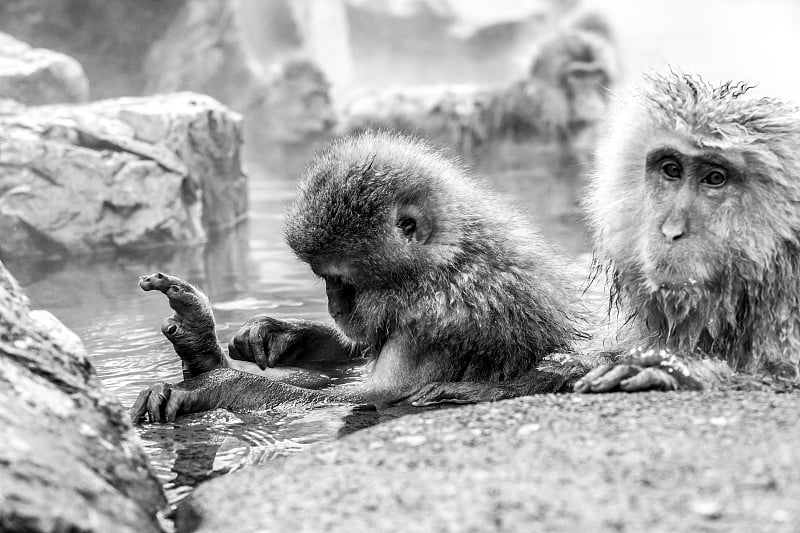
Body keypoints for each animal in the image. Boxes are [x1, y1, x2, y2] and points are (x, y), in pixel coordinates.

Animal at [130, 131, 580, 422]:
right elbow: (356, 354)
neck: (440, 267)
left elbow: (378, 394)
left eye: (341, 280)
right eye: (324, 279)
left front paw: (216, 381)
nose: (334, 306)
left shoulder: (439, 321)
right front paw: (275, 334)